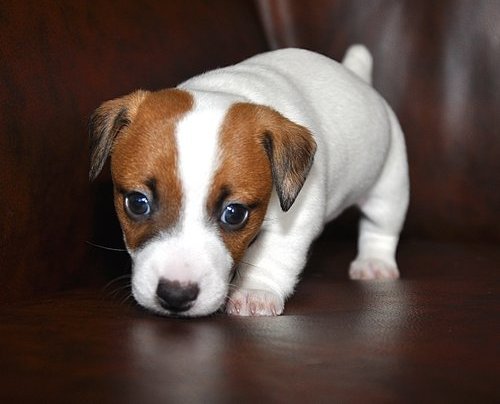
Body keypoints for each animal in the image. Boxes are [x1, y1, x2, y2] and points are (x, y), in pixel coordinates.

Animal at [90, 45, 410, 318]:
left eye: (234, 214)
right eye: (137, 203)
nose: (175, 295)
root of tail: (355, 74)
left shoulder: (297, 215)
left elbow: (274, 255)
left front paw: (256, 292)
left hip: (390, 184)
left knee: (381, 227)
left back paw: (374, 263)